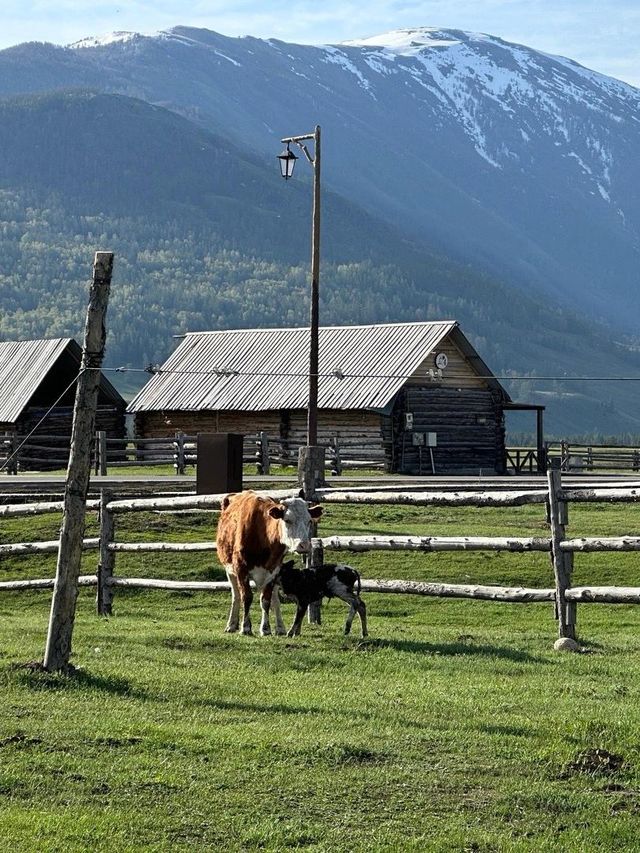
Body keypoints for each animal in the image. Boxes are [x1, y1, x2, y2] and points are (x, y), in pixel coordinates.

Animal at [216, 492, 324, 632]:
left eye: (309, 521)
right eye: (287, 520)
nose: (304, 545)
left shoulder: (273, 571)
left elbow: (266, 600)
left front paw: (266, 628)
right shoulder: (241, 569)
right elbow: (246, 597)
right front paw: (246, 627)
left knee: (275, 599)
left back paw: (280, 628)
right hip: (230, 571)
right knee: (236, 596)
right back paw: (232, 624)